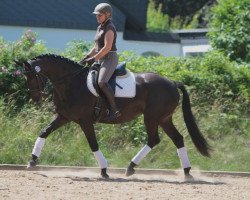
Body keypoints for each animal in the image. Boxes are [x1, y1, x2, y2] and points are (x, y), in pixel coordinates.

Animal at [14, 53, 210, 180]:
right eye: (25, 78)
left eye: (33, 76)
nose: (36, 98)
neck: (71, 82)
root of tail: (172, 83)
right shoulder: (64, 117)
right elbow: (44, 132)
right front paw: (32, 161)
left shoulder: (85, 121)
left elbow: (93, 144)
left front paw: (104, 171)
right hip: (163, 119)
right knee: (178, 139)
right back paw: (187, 172)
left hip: (152, 118)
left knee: (154, 140)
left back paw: (131, 167)